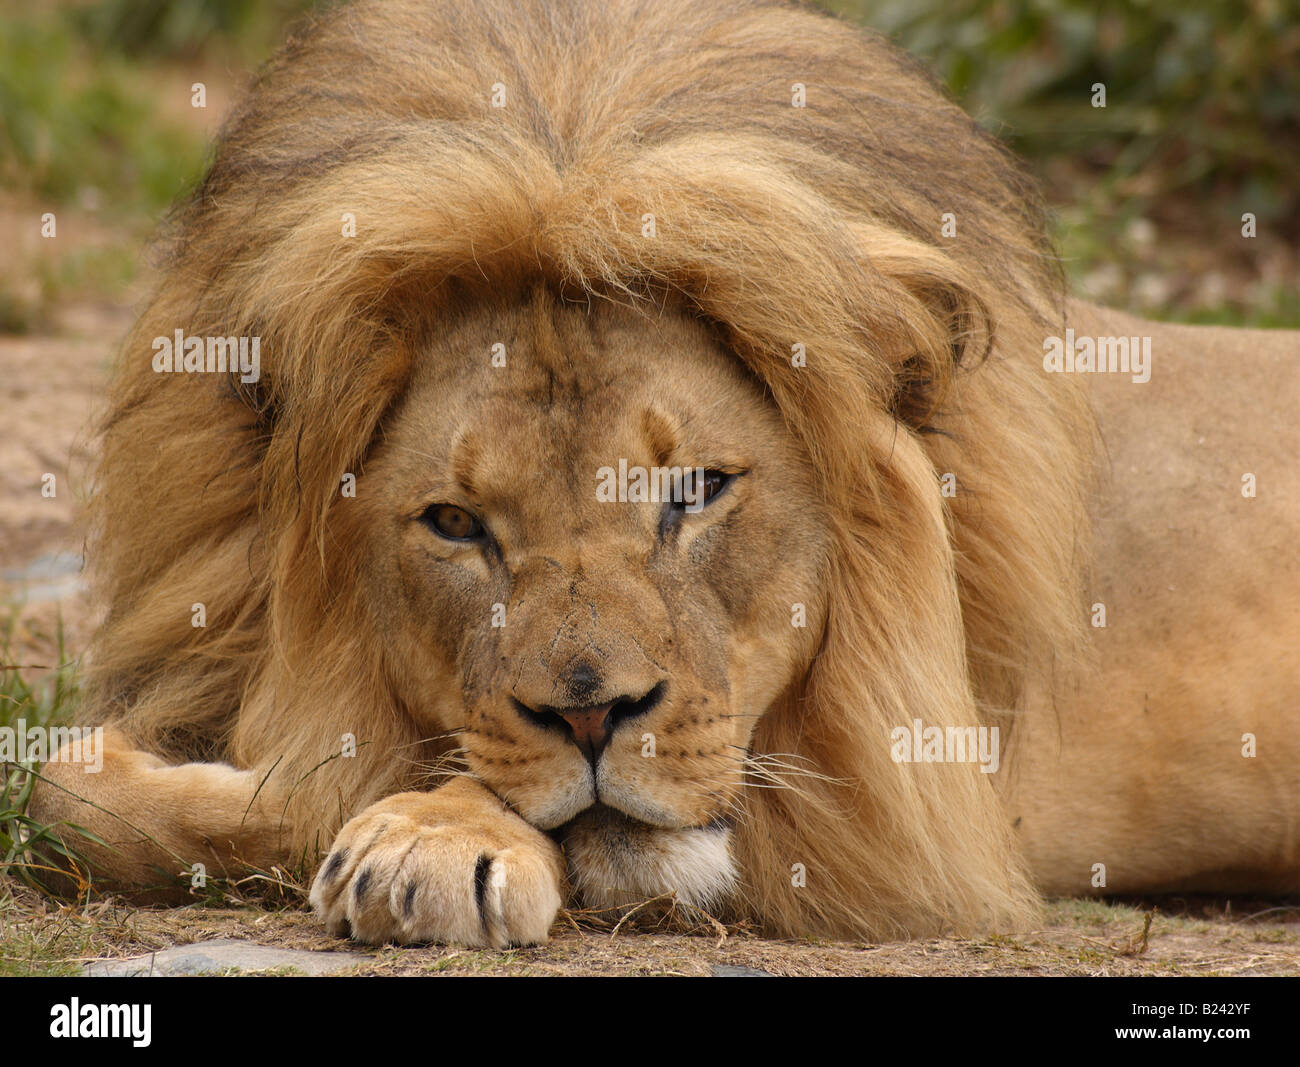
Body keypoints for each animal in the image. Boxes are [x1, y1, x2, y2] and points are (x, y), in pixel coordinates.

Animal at [30, 0, 1300, 946]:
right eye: (455, 522)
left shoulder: (916, 797)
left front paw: (425, 836)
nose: (593, 715)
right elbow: (65, 791)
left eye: (692, 492)